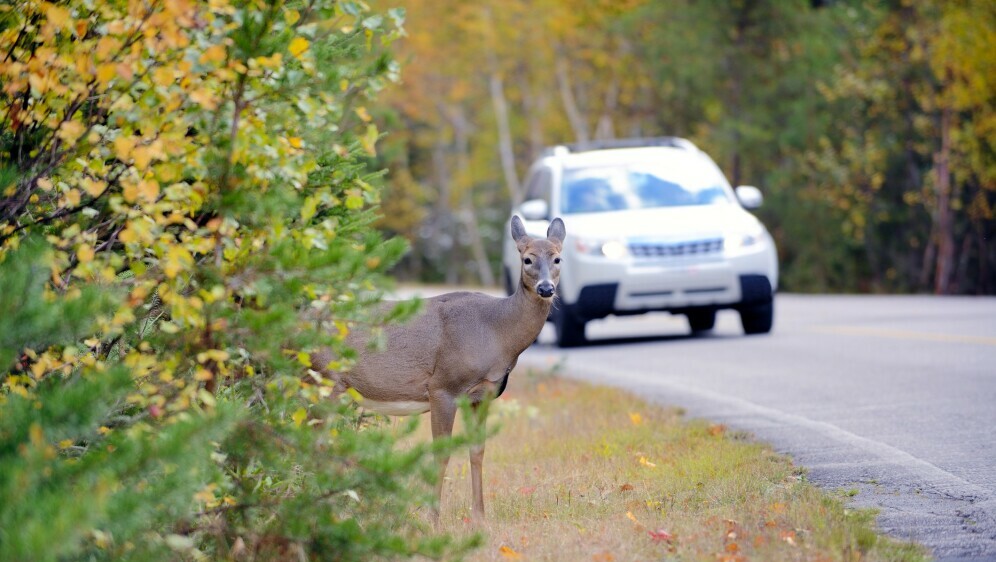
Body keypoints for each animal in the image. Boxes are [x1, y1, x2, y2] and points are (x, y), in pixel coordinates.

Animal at [310, 215, 560, 520]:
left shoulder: (483, 394)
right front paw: (432, 519)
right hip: (325, 379)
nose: (546, 289)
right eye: (527, 259)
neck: (495, 331)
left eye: (557, 258)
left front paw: (479, 518)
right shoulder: (443, 387)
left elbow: (478, 450)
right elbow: (441, 453)